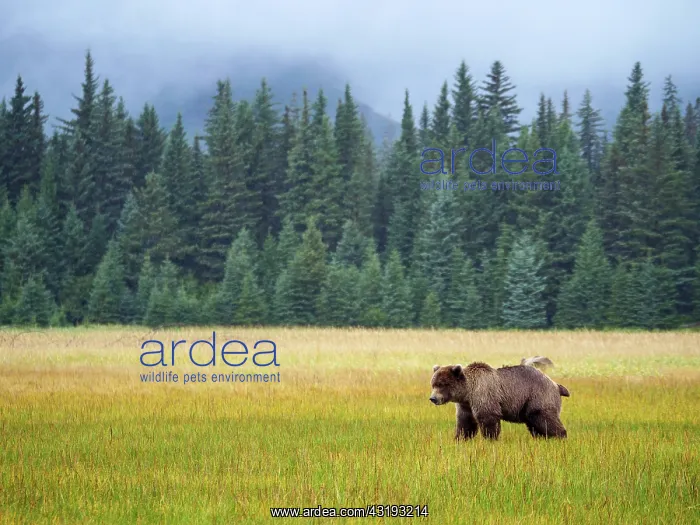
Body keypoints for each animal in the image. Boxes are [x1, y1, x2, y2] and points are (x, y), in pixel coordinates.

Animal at [429, 356, 569, 440]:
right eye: (433, 384)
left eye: (442, 384)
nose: (433, 398)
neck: (468, 392)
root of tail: (555, 384)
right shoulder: (465, 405)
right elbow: (465, 422)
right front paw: (460, 438)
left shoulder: (484, 394)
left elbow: (488, 419)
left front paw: (490, 439)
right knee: (535, 424)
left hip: (538, 396)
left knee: (545, 418)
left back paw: (560, 437)